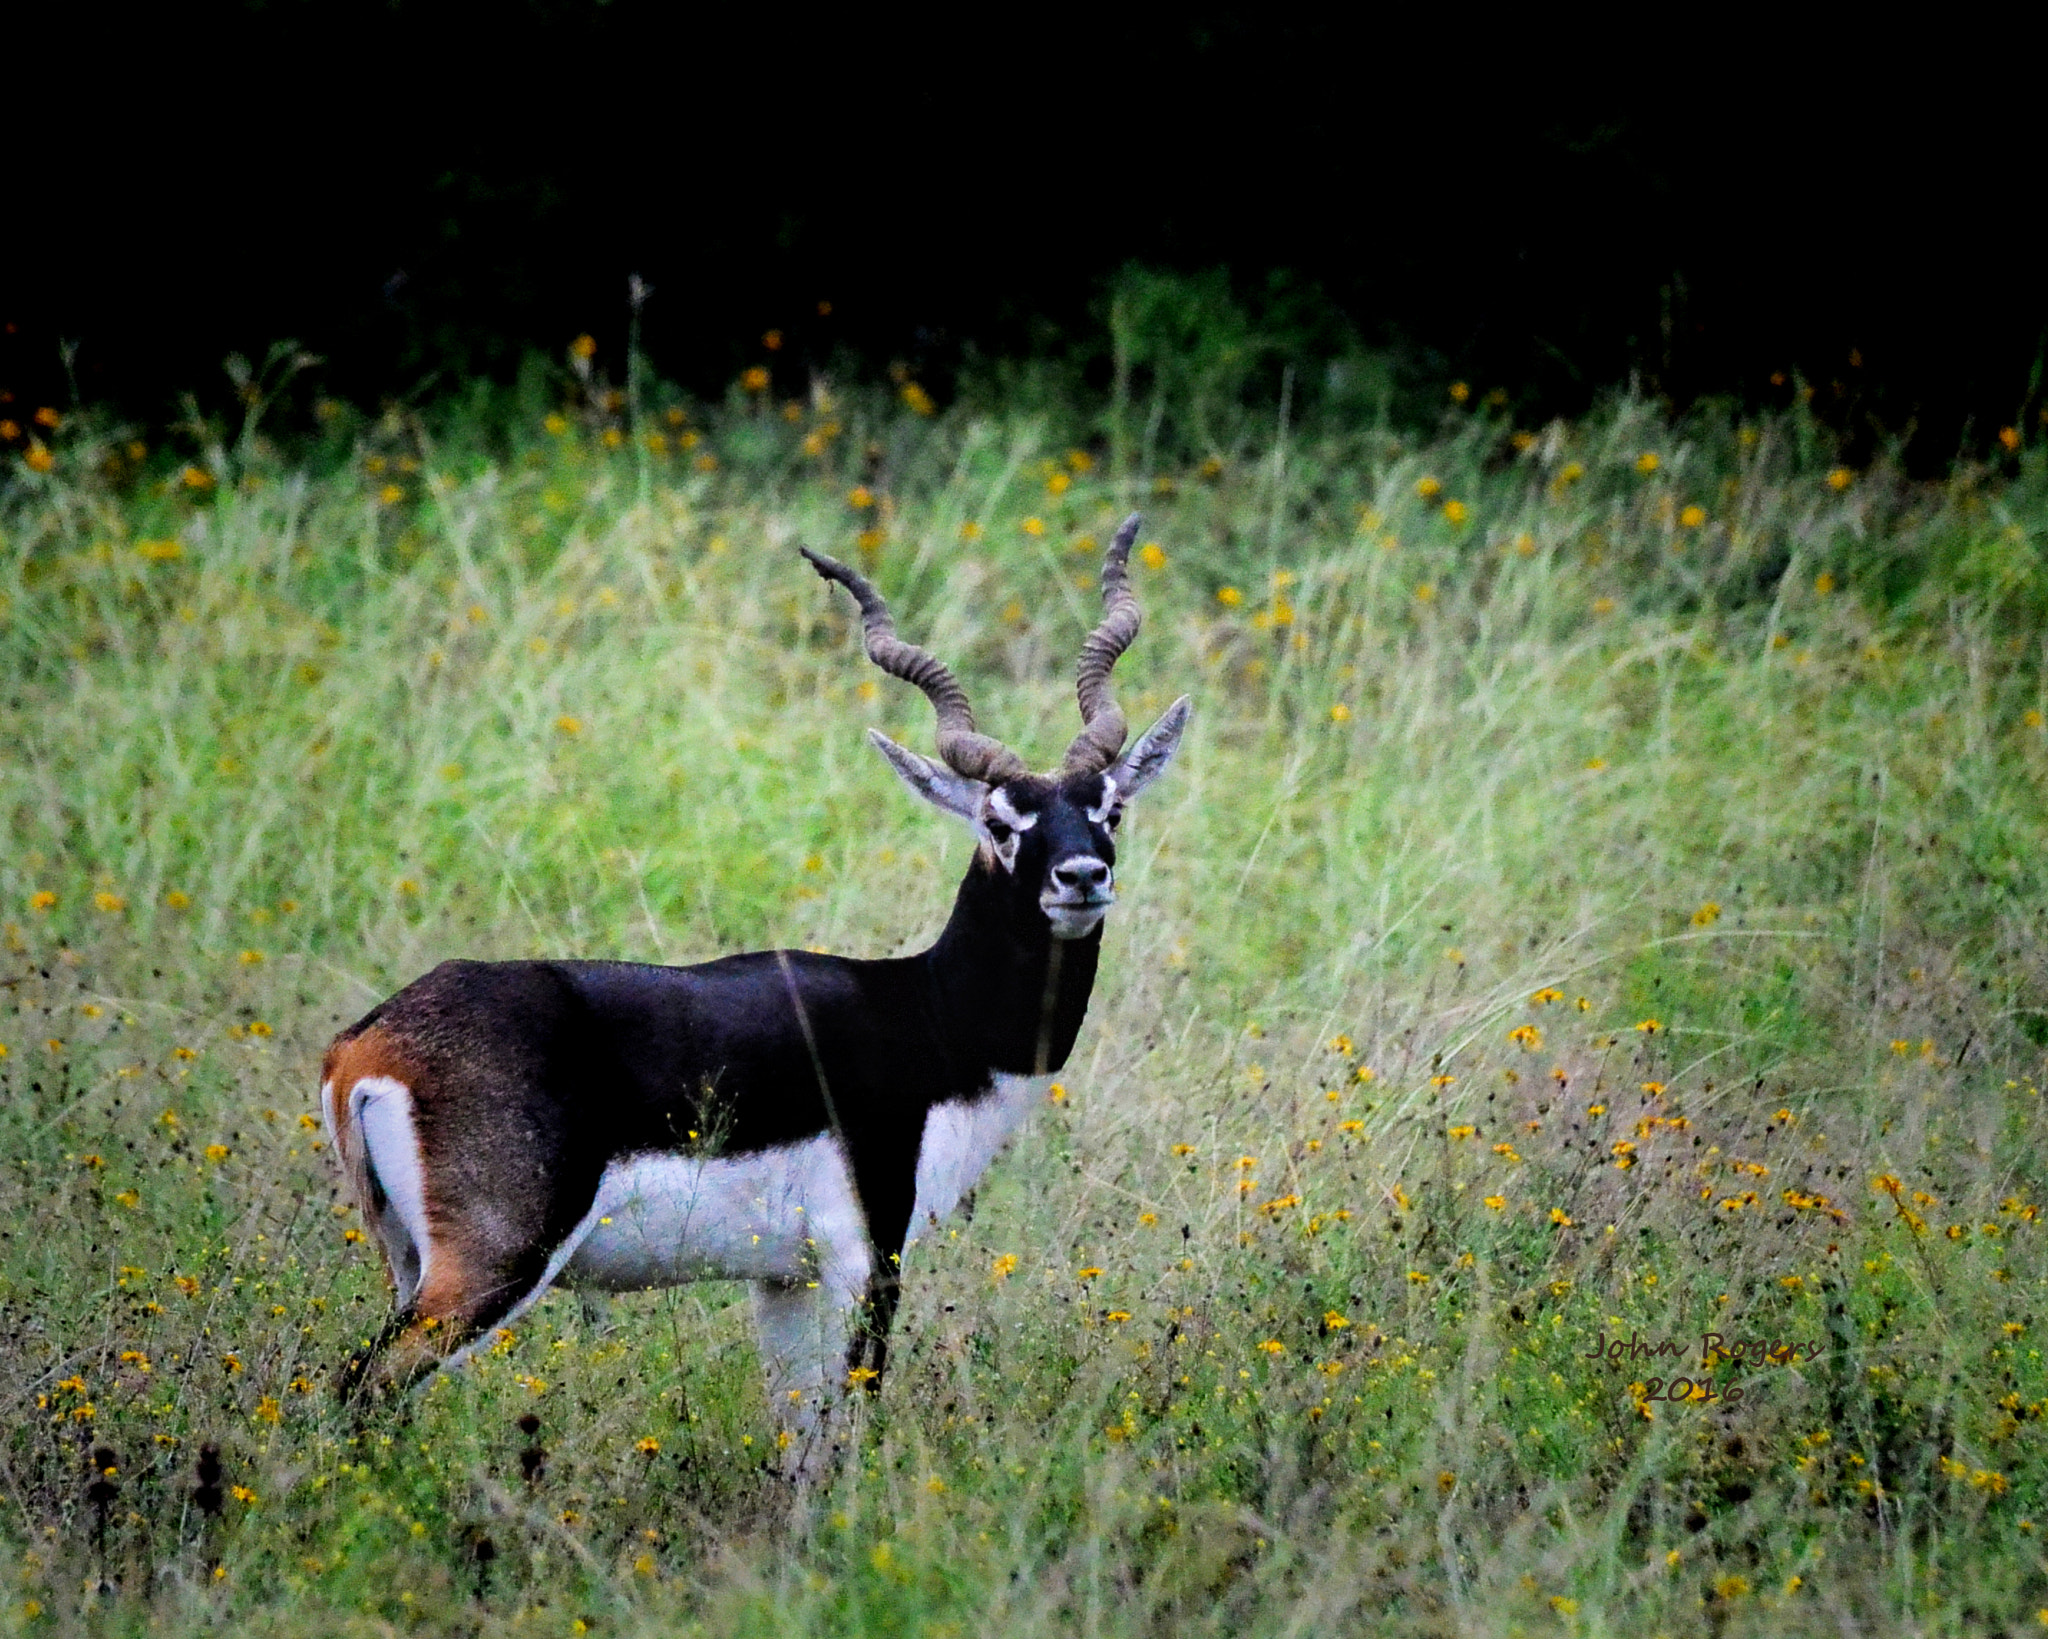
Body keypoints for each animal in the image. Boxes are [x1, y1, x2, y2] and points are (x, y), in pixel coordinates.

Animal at [311, 512, 1196, 1475]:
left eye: (1110, 807)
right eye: (1001, 822)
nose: (1082, 876)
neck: (928, 1020)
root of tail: (368, 1043)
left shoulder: (784, 1279)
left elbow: (799, 1445)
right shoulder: (868, 1257)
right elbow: (847, 1434)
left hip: (408, 1262)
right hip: (488, 1267)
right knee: (355, 1390)